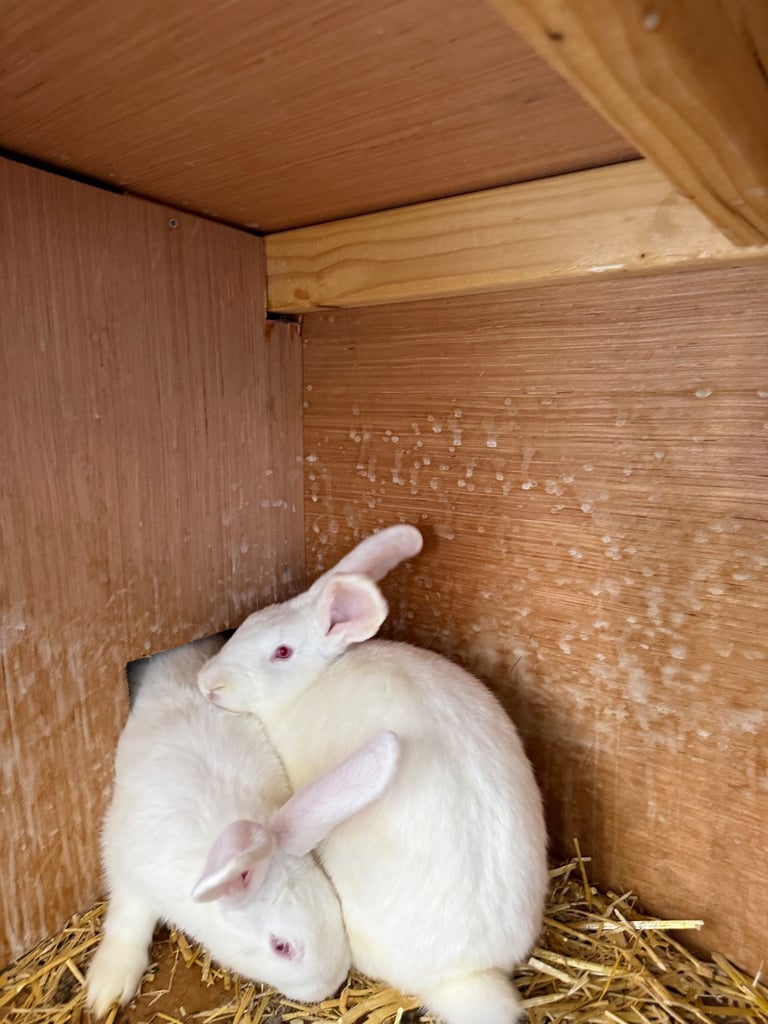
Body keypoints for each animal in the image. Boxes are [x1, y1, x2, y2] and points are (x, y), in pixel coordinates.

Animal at [85, 634, 400, 1019]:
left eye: (334, 908)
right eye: (281, 947)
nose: (328, 987)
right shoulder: (125, 864)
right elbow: (128, 921)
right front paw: (106, 989)